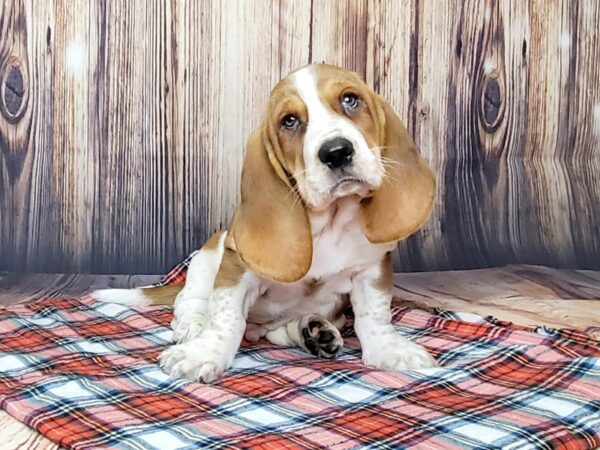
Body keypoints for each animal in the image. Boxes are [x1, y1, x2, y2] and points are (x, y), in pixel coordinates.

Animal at [92, 61, 436, 382]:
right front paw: (203, 354)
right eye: (290, 121)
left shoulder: (371, 270)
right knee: (189, 305)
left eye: (350, 100)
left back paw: (315, 332)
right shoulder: (235, 268)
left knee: (281, 331)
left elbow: (374, 316)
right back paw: (194, 327)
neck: (329, 222)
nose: (336, 152)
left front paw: (390, 350)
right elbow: (226, 318)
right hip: (206, 259)